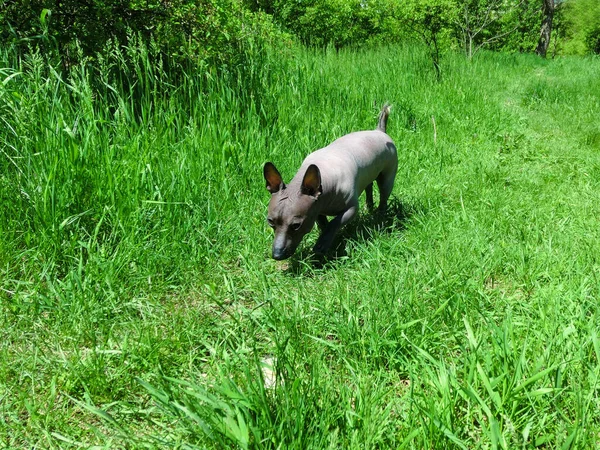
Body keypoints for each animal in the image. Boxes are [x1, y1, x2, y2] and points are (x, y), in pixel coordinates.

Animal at [264, 104, 398, 260]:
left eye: (296, 225)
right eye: (270, 222)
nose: (277, 255)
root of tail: (379, 130)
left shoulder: (351, 209)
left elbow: (334, 223)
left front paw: (322, 243)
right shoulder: (316, 210)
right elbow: (324, 225)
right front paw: (326, 240)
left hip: (387, 177)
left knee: (383, 197)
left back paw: (379, 217)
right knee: (369, 186)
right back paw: (369, 207)